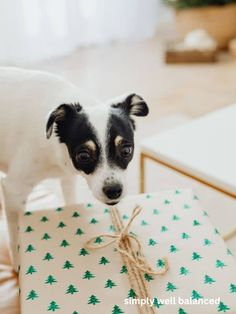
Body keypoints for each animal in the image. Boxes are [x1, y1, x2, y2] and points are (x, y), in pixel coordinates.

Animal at [0, 67, 148, 270]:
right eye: (83, 156)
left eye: (126, 150)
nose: (114, 191)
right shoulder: (13, 191)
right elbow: (15, 240)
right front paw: (17, 267)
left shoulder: (67, 178)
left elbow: (70, 202)